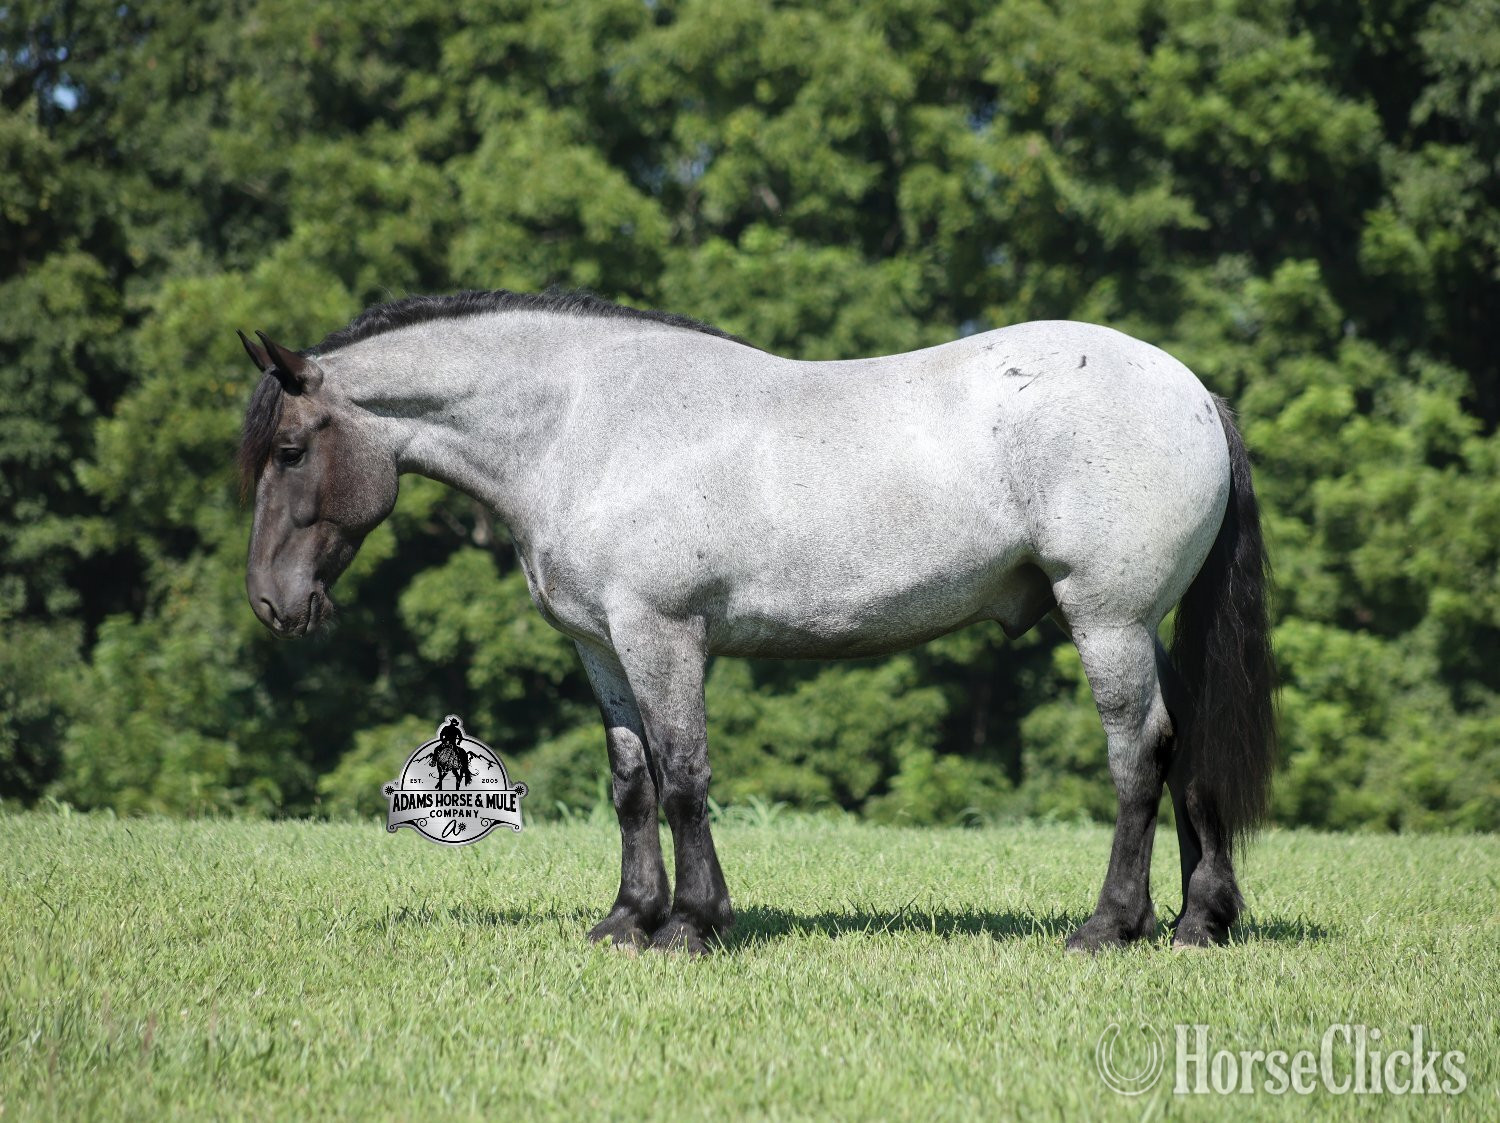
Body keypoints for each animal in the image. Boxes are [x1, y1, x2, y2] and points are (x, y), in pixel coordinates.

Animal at [236, 290, 1275, 954]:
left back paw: (1110, 925)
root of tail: (1192, 391)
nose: (271, 602)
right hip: (1144, 626)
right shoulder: (601, 646)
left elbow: (685, 776)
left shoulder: (662, 634)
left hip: (1107, 619)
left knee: (1140, 753)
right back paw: (1200, 922)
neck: (583, 420)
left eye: (288, 449)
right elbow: (633, 782)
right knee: (1188, 747)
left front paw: (691, 924)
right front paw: (627, 918)